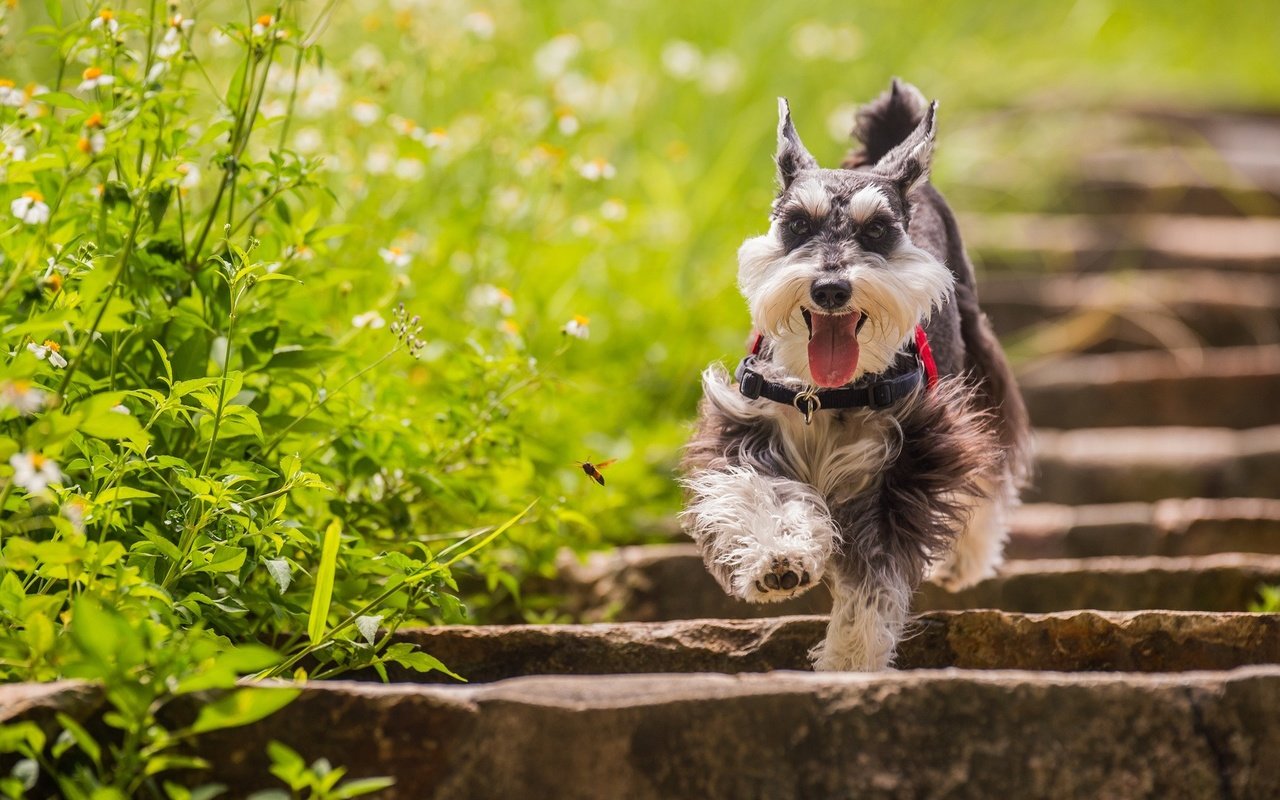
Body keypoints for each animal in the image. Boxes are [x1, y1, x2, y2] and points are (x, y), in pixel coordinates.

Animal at [680, 79, 1029, 665]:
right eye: (797, 224)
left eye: (878, 231)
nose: (830, 289)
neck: (826, 393)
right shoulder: (745, 429)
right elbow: (761, 492)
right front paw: (778, 559)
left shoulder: (905, 466)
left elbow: (874, 580)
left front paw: (850, 660)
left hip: (978, 363)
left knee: (991, 466)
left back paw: (966, 559)